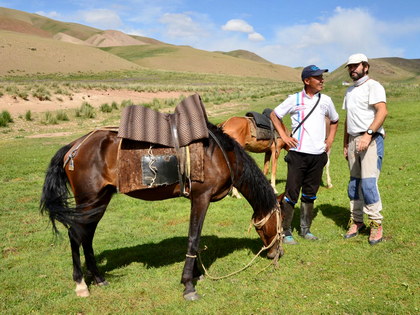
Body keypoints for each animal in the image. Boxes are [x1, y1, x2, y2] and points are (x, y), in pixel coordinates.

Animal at [40, 121, 282, 302]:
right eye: (277, 224)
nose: (275, 254)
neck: (220, 155)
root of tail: (74, 146)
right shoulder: (201, 197)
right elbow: (193, 237)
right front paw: (188, 285)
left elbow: (196, 238)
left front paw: (197, 274)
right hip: (88, 199)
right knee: (75, 234)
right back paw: (81, 284)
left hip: (100, 199)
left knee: (87, 236)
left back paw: (99, 278)